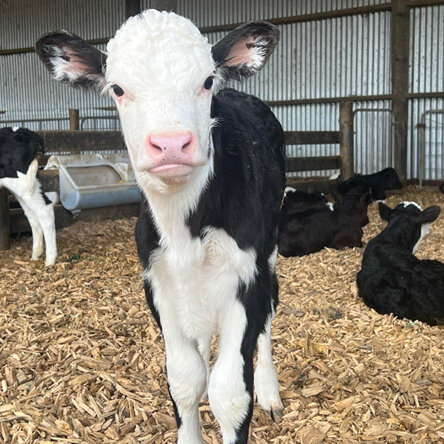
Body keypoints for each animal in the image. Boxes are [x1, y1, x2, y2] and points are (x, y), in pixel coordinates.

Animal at [37, 10, 288, 444]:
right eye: (118, 89)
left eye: (207, 81)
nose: (171, 143)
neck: (184, 230)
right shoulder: (159, 283)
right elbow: (185, 379)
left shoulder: (245, 278)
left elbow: (230, 392)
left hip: (269, 250)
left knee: (268, 317)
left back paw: (270, 390)